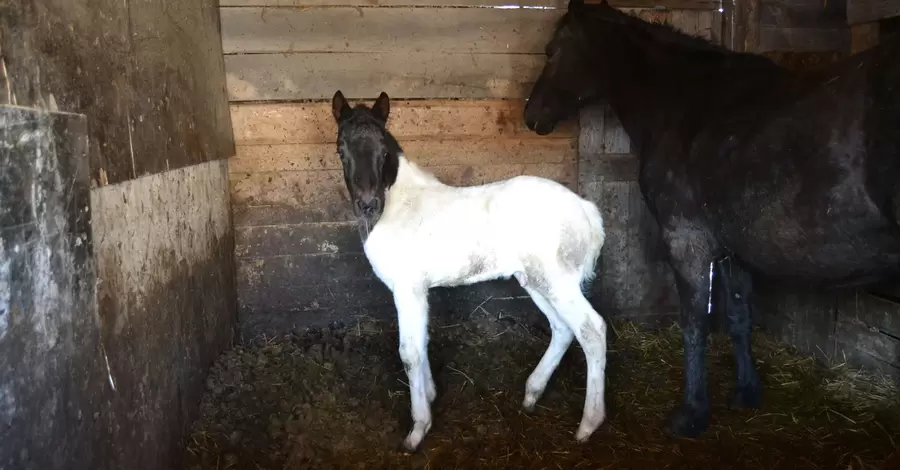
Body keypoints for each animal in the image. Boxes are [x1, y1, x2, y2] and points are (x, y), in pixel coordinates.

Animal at [524, 0, 900, 436]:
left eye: (552, 50)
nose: (531, 116)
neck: (685, 104)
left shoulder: (687, 243)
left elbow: (694, 324)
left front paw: (691, 412)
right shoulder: (733, 250)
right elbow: (739, 316)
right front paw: (746, 392)